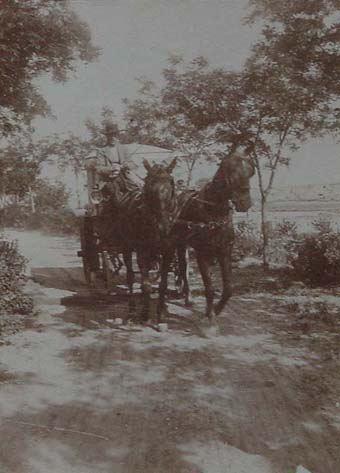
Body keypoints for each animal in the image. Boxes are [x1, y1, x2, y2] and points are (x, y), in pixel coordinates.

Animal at [160, 150, 255, 320]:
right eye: (231, 170)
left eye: (251, 170)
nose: (245, 203)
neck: (213, 212)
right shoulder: (201, 252)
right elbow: (209, 286)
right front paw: (210, 314)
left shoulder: (225, 250)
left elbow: (228, 288)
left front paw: (216, 309)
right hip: (177, 243)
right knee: (182, 267)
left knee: (184, 268)